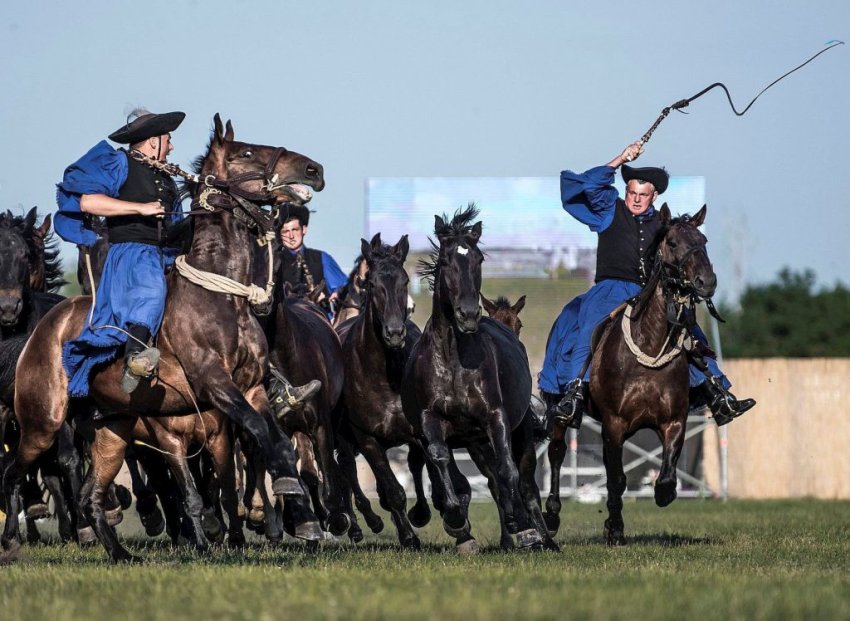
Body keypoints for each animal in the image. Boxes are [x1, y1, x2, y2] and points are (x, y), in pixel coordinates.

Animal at [2, 112, 324, 560]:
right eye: (245, 152)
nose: (314, 170)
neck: (221, 298)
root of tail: (41, 331)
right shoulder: (215, 385)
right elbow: (258, 438)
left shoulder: (251, 389)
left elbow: (270, 439)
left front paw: (300, 516)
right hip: (42, 424)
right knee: (13, 473)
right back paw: (12, 542)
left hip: (112, 431)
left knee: (90, 495)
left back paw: (120, 553)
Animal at [402, 208, 556, 552]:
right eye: (446, 260)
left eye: (479, 259)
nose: (469, 314)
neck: (453, 360)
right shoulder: (431, 420)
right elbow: (442, 461)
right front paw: (457, 521)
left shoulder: (496, 418)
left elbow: (508, 470)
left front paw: (522, 527)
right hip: (473, 442)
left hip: (519, 432)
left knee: (525, 482)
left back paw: (541, 536)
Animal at [552, 203, 712, 544]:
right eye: (673, 243)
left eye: (703, 240)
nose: (707, 281)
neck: (649, 344)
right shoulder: (613, 424)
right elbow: (616, 480)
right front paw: (615, 529)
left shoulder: (673, 421)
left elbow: (665, 474)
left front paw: (661, 494)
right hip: (556, 411)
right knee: (557, 453)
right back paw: (552, 514)